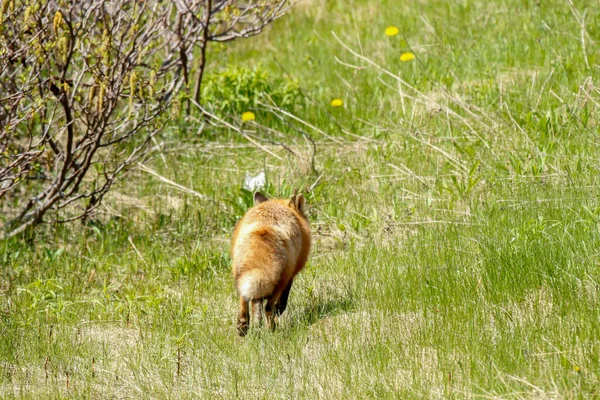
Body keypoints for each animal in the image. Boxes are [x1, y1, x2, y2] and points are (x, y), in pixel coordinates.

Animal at [232, 191, 312, 334]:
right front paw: (279, 309)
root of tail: (263, 228)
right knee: (268, 307)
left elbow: (255, 305)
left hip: (240, 276)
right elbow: (283, 298)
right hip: (280, 279)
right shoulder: (291, 273)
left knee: (244, 299)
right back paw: (272, 331)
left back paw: (244, 325)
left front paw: (256, 326)